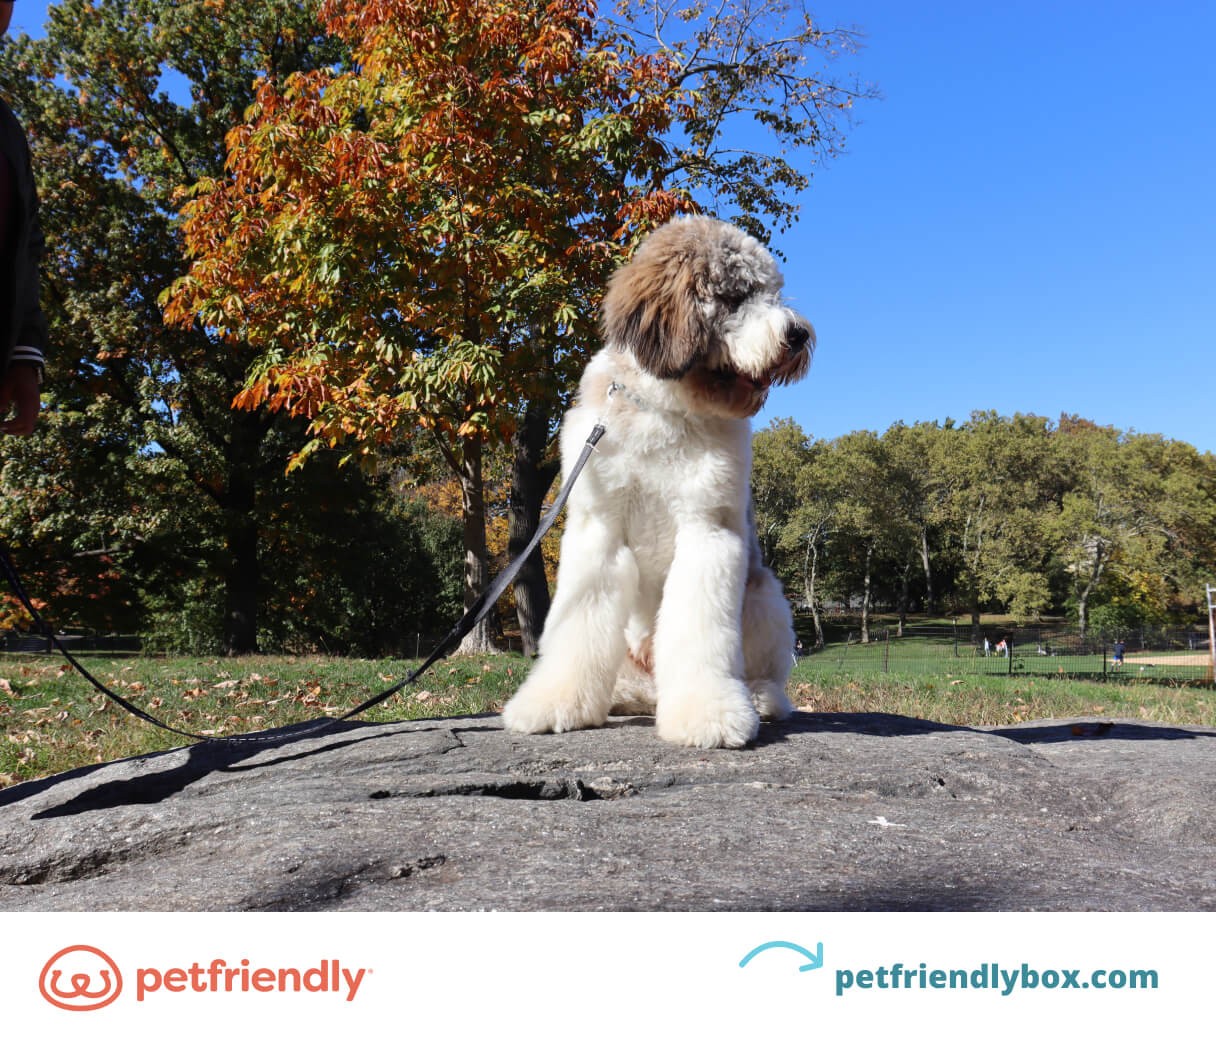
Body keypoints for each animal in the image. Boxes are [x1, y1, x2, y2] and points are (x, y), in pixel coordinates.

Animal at [498, 215, 812, 749]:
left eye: (772, 293)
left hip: (766, 597)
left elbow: (699, 630)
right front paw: (553, 702)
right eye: (735, 296)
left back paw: (760, 698)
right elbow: (576, 626)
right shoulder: (597, 530)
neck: (664, 410)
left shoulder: (708, 531)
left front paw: (707, 712)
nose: (798, 334)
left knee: (763, 672)